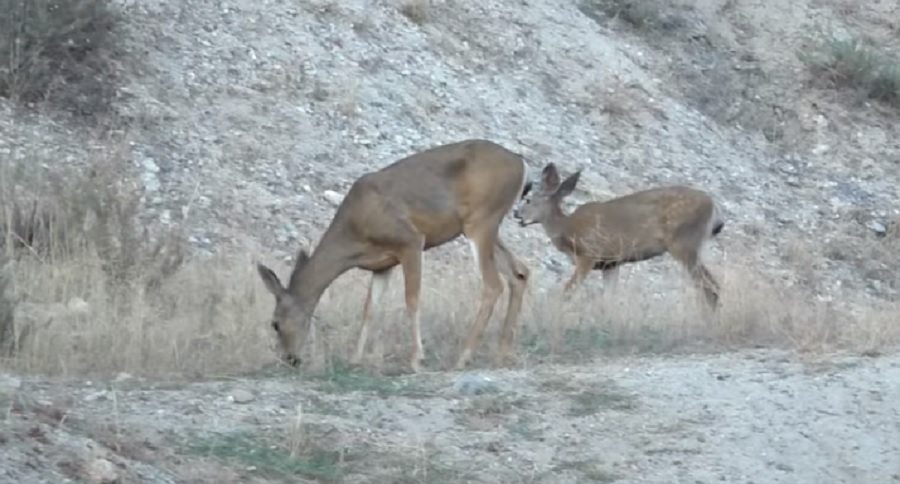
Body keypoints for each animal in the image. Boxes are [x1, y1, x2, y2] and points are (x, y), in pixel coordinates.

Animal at [256, 138, 532, 372]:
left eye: (275, 323)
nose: (289, 359)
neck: (354, 234)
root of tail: (521, 163)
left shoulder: (410, 240)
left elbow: (412, 299)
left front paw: (416, 359)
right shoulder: (382, 264)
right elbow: (370, 308)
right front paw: (356, 358)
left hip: (481, 220)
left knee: (493, 284)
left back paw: (463, 357)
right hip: (488, 227)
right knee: (519, 272)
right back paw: (502, 352)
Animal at [512, 162, 724, 306]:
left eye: (528, 200)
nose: (516, 213)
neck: (568, 229)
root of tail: (714, 208)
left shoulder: (589, 254)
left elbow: (568, 290)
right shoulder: (611, 263)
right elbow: (609, 299)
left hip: (684, 243)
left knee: (710, 286)